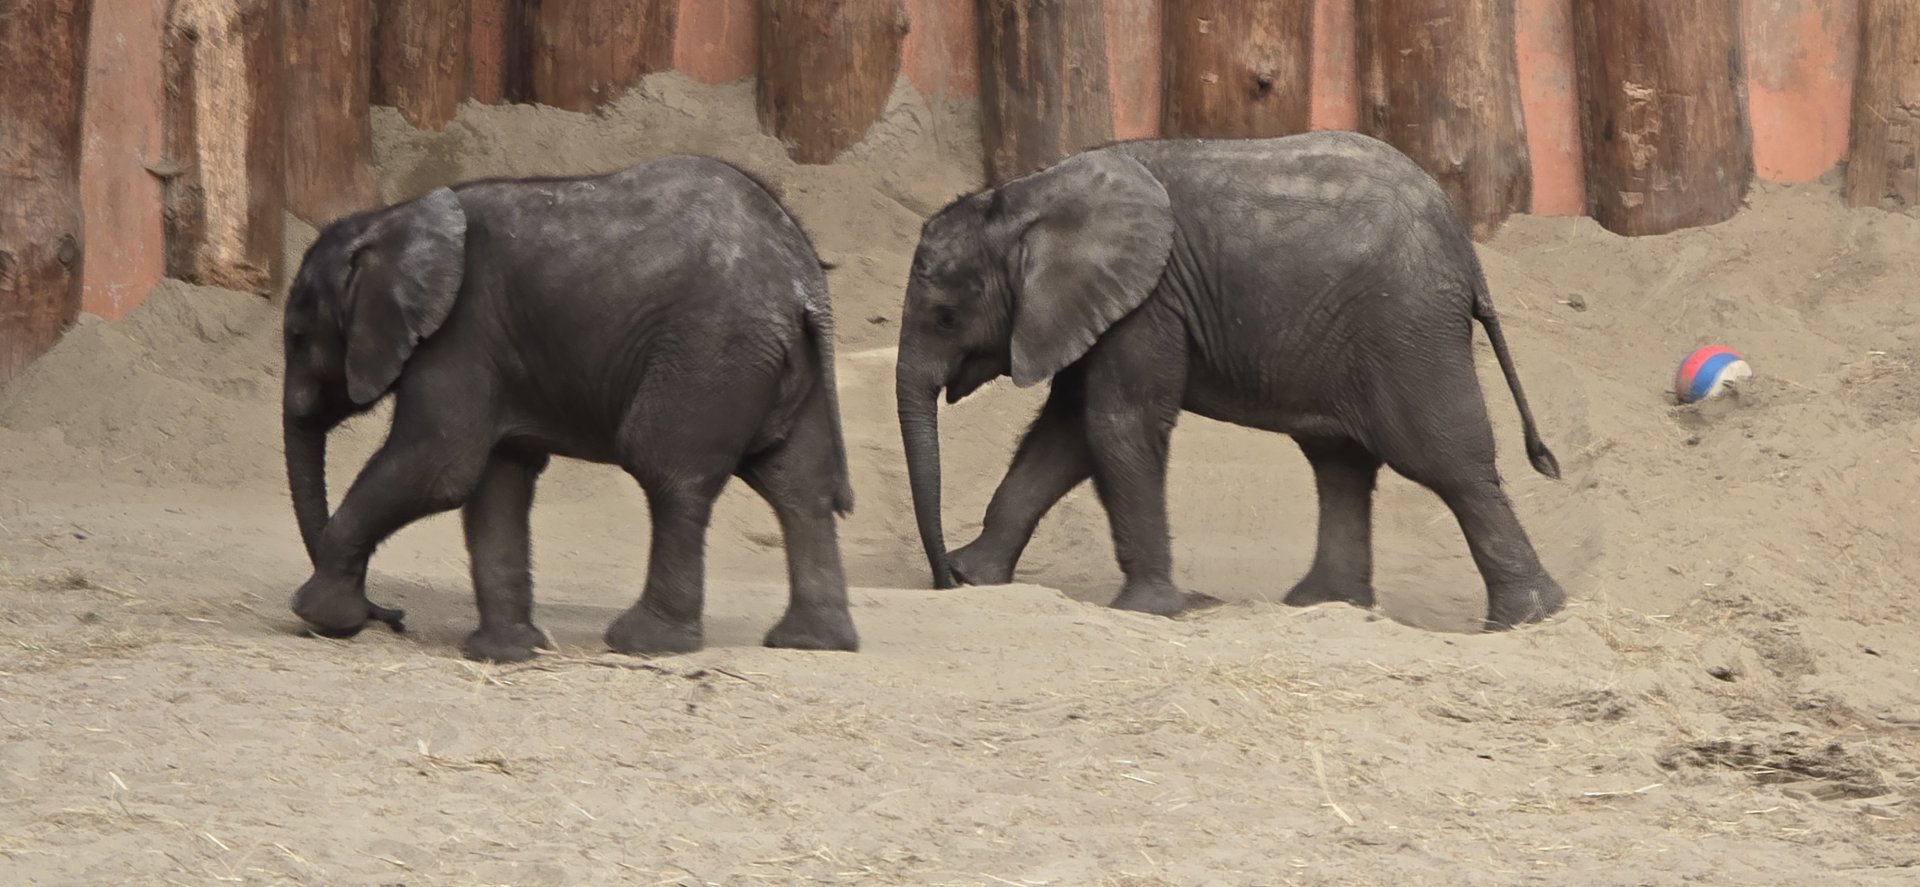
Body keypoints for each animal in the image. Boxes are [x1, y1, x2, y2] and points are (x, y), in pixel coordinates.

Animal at [281, 155, 860, 662]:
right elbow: (496, 478)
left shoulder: (460, 334)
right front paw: (507, 654)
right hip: (779, 363)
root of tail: (803, 278)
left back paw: (644, 643)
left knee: (672, 474)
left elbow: (440, 467)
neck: (390, 217)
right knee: (799, 487)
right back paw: (811, 642)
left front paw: (318, 617)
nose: (392, 615)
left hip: (711, 350)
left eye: (298, 338)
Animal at [894, 131, 1566, 631]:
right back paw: (1326, 605)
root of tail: (1466, 253)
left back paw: (1528, 618)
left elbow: (1117, 424)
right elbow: (1066, 433)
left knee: (1444, 460)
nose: (938, 578)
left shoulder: (1149, 303)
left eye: (946, 316)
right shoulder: (1102, 307)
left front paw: (1150, 611)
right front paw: (977, 580)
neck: (1028, 194)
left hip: (1407, 326)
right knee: (1341, 461)